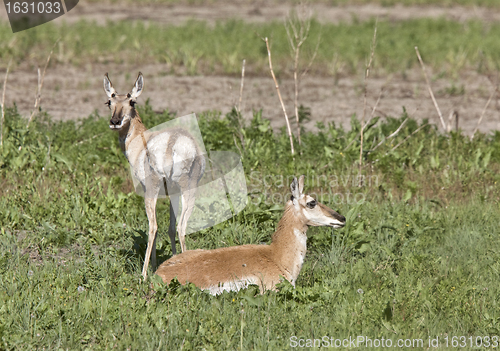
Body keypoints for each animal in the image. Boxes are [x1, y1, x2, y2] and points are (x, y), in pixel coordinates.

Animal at [103, 73, 205, 280]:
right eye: (109, 101)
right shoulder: (173, 194)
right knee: (181, 227)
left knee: (154, 227)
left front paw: (152, 267)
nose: (115, 121)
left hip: (154, 190)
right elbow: (171, 228)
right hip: (188, 191)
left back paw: (143, 275)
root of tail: (175, 141)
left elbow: (157, 228)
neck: (140, 140)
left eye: (132, 101)